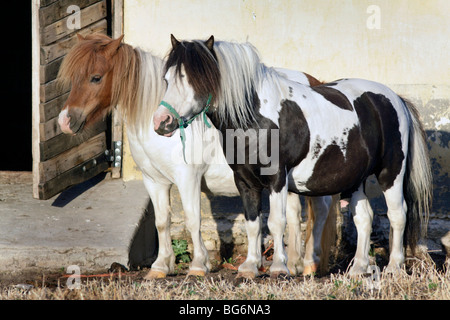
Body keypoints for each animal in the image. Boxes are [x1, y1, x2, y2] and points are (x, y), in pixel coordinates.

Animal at [154, 34, 432, 276]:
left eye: (196, 79)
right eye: (167, 79)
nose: (161, 121)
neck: (257, 117)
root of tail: (395, 99)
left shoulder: (277, 179)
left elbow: (277, 222)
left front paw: (279, 268)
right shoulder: (244, 181)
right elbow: (253, 223)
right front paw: (250, 268)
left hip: (391, 174)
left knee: (397, 215)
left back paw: (395, 268)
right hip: (356, 180)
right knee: (364, 218)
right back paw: (358, 270)